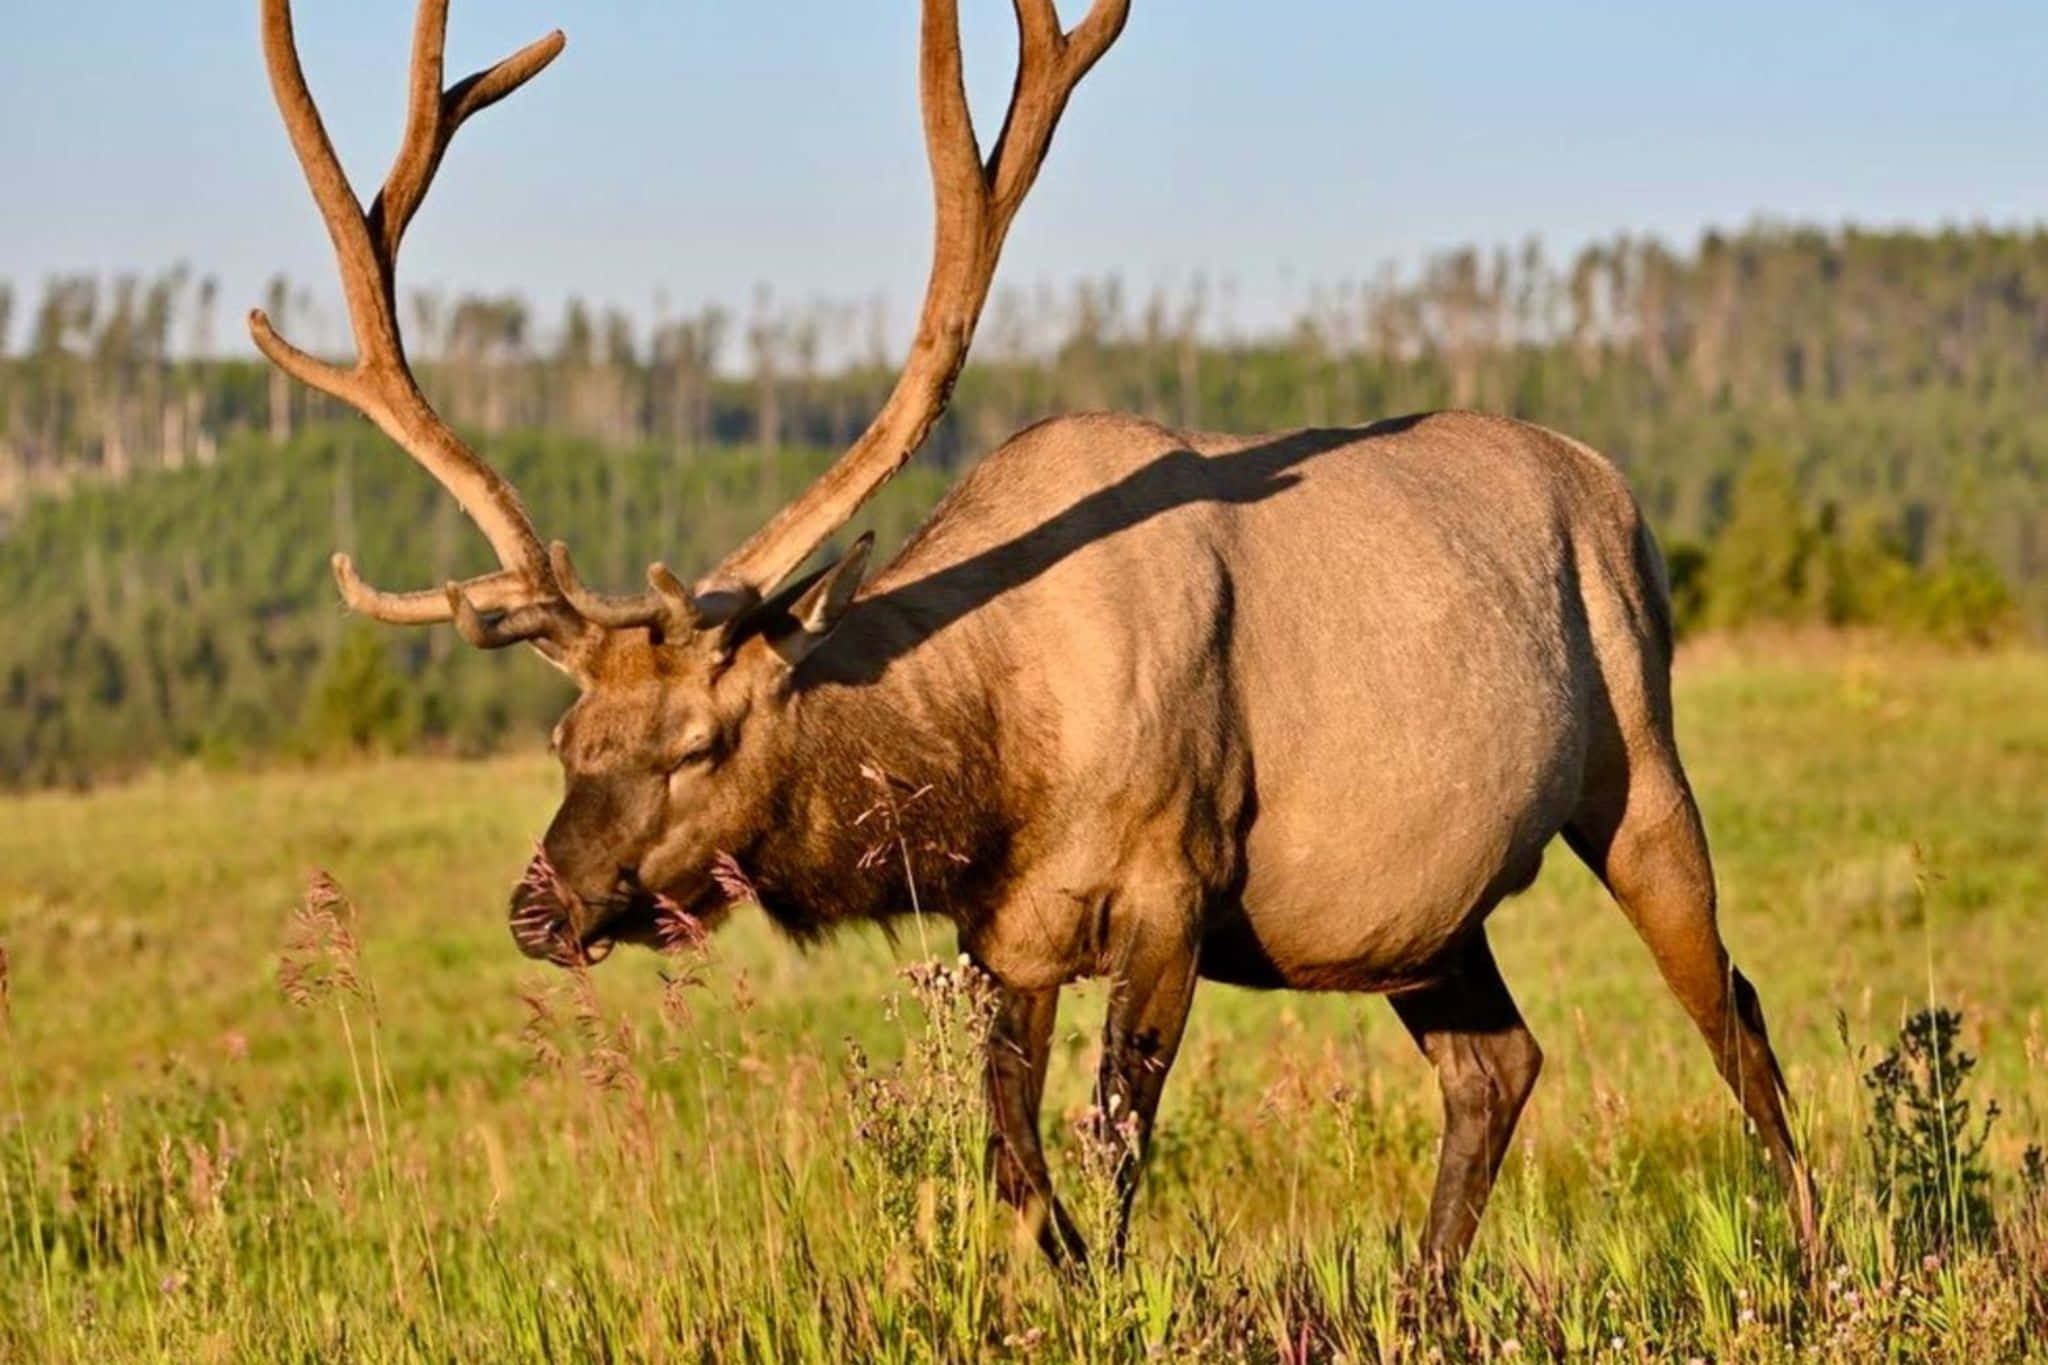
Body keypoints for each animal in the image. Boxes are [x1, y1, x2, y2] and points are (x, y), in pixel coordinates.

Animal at [251, 0, 1818, 1272]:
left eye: (699, 741)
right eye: (567, 733)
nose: (540, 906)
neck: (992, 765)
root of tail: (1614, 487)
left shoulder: (1175, 886)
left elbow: (1113, 1157)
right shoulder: (1002, 932)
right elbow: (1020, 1179)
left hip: (1640, 772)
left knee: (1737, 1017)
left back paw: (1813, 1262)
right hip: (1422, 915)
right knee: (1500, 1065)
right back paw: (1425, 1299)